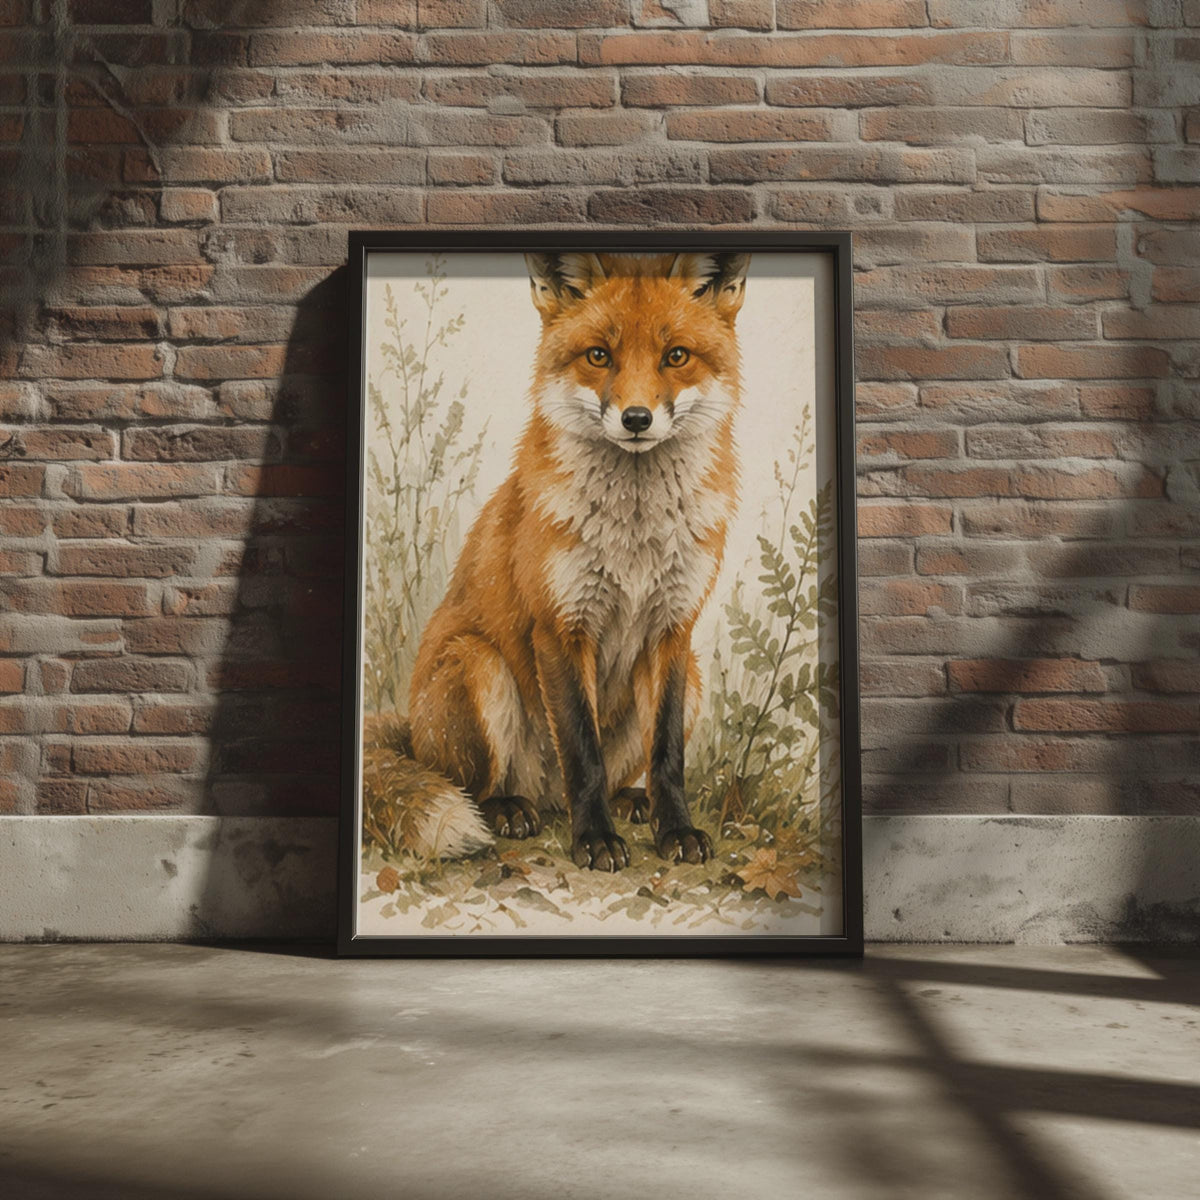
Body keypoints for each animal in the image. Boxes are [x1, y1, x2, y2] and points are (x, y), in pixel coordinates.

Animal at [363, 250, 750, 872]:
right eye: (599, 356)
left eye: (676, 356)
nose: (636, 419)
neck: (634, 537)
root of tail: (414, 736)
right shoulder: (560, 627)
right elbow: (581, 751)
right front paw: (594, 840)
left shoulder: (673, 631)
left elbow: (667, 756)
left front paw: (676, 831)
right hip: (478, 664)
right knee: (476, 784)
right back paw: (509, 810)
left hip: (692, 677)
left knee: (615, 774)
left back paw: (630, 802)